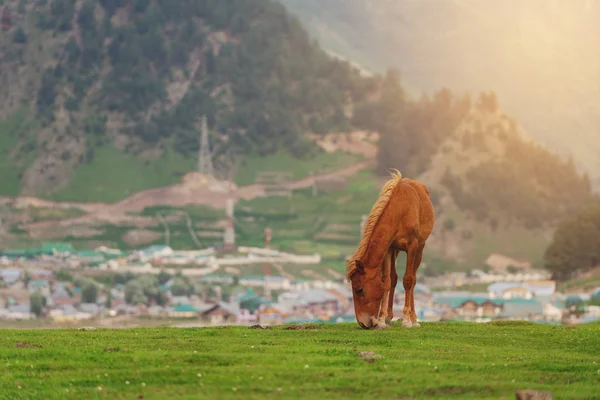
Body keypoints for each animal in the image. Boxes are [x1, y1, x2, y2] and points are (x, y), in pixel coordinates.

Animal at [344, 170, 434, 330]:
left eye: (359, 289)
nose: (363, 323)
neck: (400, 210)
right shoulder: (389, 248)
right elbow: (386, 281)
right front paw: (381, 320)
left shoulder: (412, 246)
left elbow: (408, 280)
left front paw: (406, 320)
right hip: (396, 251)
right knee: (394, 278)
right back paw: (389, 318)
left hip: (420, 248)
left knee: (413, 279)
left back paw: (414, 319)